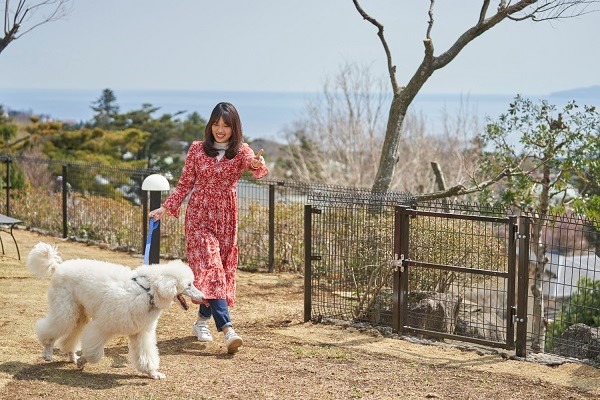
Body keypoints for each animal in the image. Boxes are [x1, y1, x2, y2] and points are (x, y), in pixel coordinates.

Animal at [26, 242, 204, 380]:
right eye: (189, 285)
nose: (203, 297)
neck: (147, 291)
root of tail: (58, 267)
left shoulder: (141, 333)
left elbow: (146, 355)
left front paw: (153, 373)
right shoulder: (101, 326)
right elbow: (94, 354)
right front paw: (83, 361)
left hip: (79, 314)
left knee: (70, 337)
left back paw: (72, 356)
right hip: (65, 311)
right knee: (50, 329)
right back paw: (48, 352)